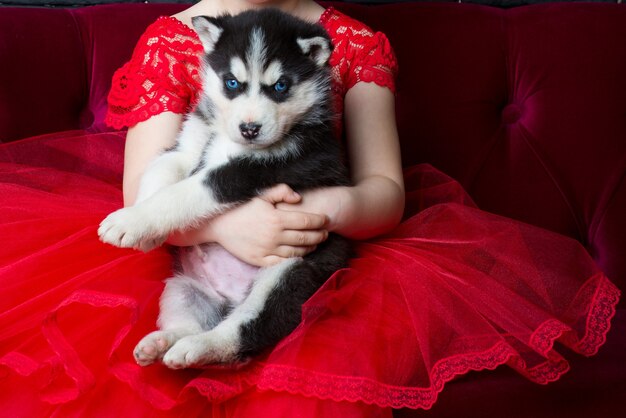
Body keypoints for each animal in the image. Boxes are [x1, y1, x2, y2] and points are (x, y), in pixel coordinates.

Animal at [98, 9, 352, 370]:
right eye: (232, 82)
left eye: (281, 86)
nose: (250, 129)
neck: (225, 137)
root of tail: (229, 300)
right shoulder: (189, 145)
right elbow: (159, 172)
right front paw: (143, 226)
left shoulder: (260, 169)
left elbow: (186, 193)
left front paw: (131, 222)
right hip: (183, 287)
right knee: (191, 322)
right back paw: (163, 344)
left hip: (289, 273)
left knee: (244, 329)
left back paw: (201, 347)